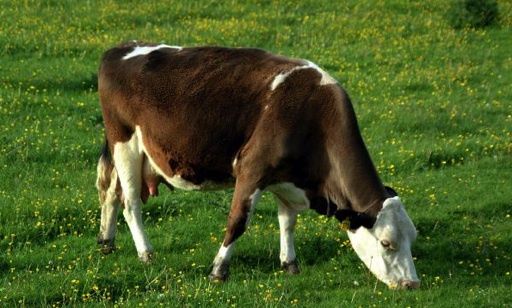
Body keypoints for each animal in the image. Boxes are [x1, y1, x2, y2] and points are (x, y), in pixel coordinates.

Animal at [96, 41, 420, 288]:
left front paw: (290, 264)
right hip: (125, 144)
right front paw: (218, 270)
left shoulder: (288, 179)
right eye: (387, 243)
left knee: (111, 192)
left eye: (413, 238)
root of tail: (121, 48)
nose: (412, 284)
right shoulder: (252, 169)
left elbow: (288, 222)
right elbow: (238, 221)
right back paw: (145, 253)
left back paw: (106, 242)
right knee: (130, 204)